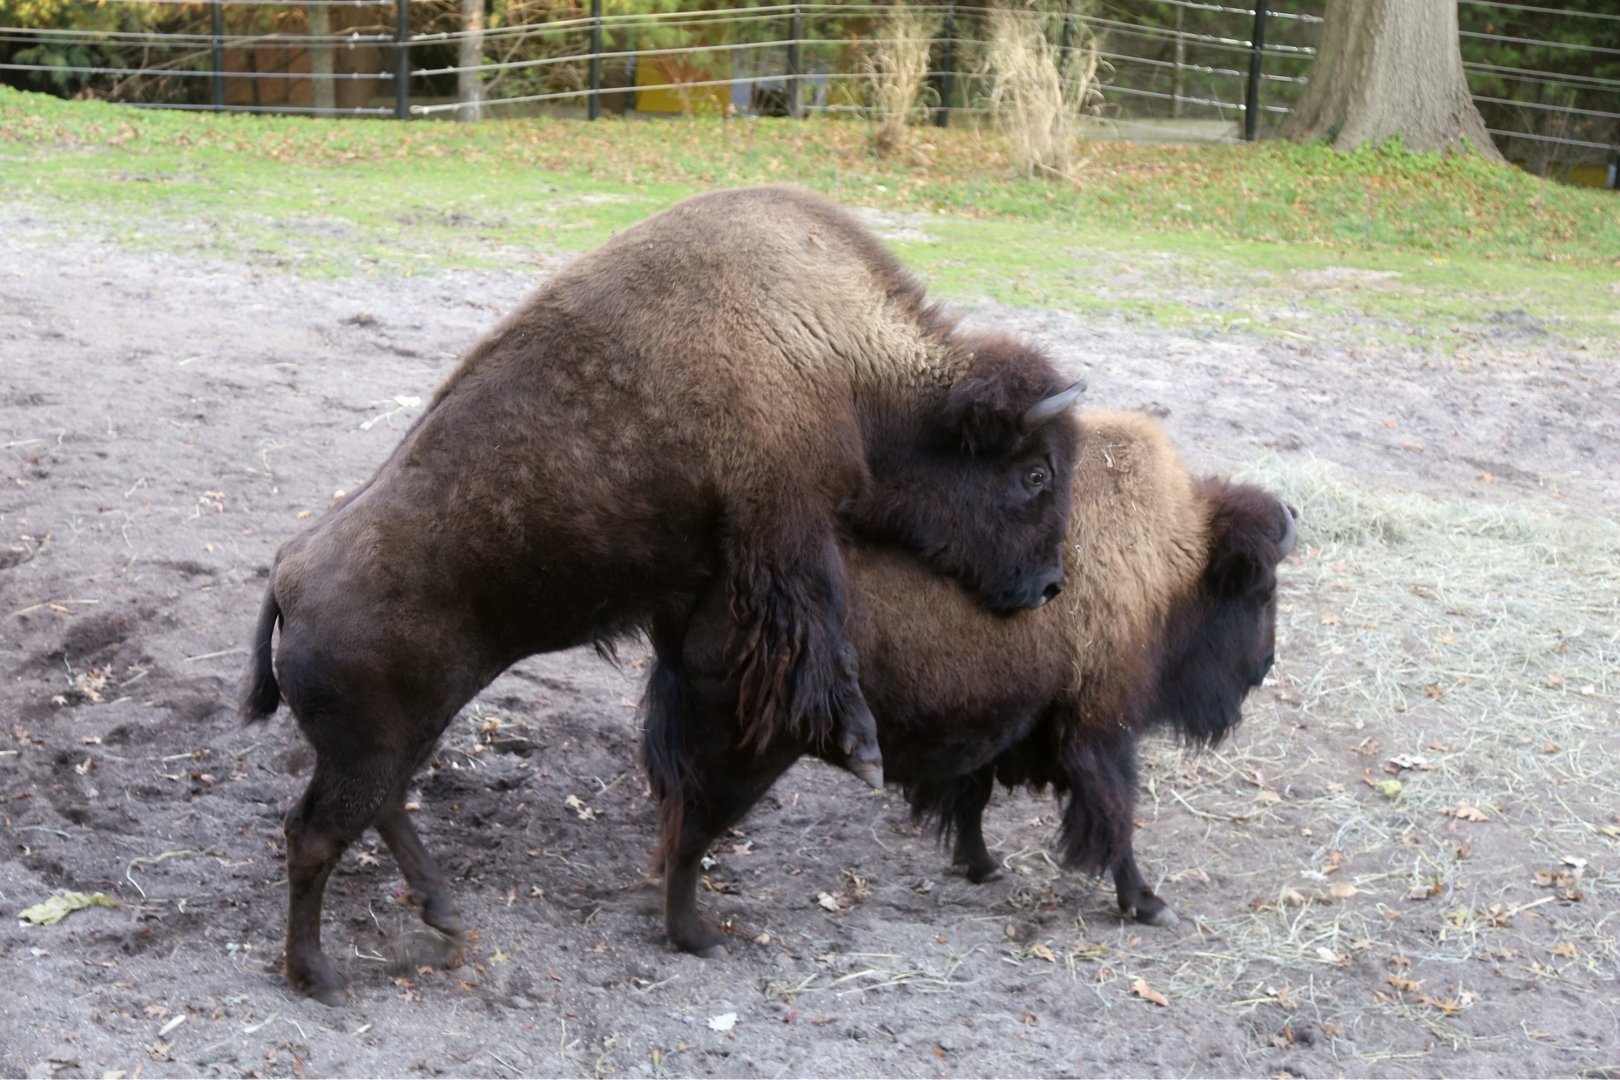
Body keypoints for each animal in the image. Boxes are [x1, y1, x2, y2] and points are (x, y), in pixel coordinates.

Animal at [241, 186, 1083, 1002]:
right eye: (1033, 474)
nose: (1049, 586)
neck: (837, 348)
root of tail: (289, 573)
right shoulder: (785, 522)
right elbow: (820, 627)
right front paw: (860, 748)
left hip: (403, 735)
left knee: (377, 809)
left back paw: (439, 917)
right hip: (373, 748)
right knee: (313, 835)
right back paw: (320, 977)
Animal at [645, 409, 1296, 953]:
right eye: (1261, 591)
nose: (1265, 665)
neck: (1169, 560)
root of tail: (715, 580)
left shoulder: (993, 725)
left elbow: (973, 798)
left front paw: (980, 865)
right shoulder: (1103, 731)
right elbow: (1117, 820)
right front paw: (1148, 903)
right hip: (746, 750)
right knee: (689, 830)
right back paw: (697, 937)